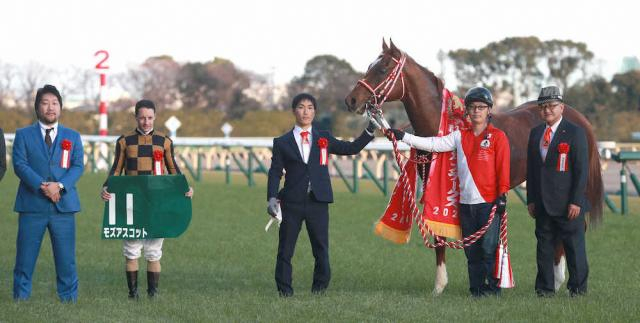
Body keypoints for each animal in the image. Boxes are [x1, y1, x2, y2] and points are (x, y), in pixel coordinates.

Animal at [342, 39, 604, 294]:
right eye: (370, 65)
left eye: (383, 68)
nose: (351, 100)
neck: (444, 126)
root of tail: (580, 119)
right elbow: (441, 235)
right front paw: (442, 285)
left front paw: (450, 284)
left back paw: (561, 282)